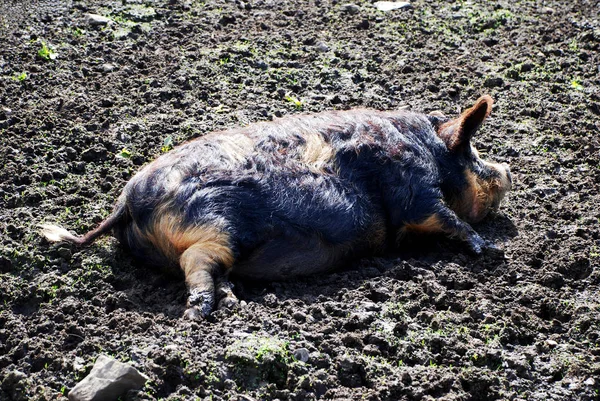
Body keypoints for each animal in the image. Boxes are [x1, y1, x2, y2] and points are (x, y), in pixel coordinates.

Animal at [41, 94, 510, 318]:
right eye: (473, 154)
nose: (507, 170)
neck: (430, 151)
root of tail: (127, 204)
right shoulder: (413, 186)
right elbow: (446, 217)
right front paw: (490, 251)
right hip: (216, 224)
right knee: (196, 263)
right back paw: (201, 315)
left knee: (209, 269)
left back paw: (232, 301)